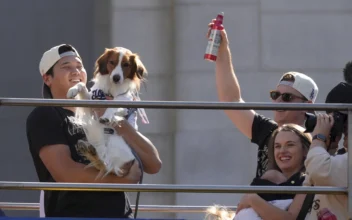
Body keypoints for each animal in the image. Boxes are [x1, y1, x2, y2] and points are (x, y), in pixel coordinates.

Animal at [67, 46, 148, 179]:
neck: (112, 88)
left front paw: (106, 117)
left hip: (115, 143)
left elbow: (114, 103)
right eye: (112, 62)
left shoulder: (124, 100)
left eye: (126, 65)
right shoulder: (92, 102)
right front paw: (73, 89)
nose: (116, 77)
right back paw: (88, 150)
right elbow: (81, 85)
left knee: (106, 165)